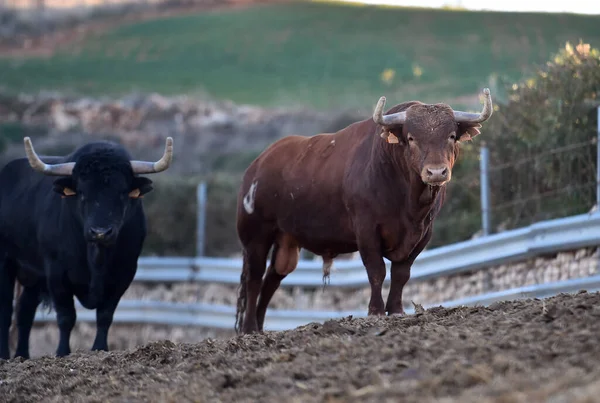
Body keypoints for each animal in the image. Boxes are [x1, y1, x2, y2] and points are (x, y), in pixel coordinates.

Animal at [0, 137, 173, 358]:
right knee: (6, 310)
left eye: (122, 193)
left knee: (24, 312)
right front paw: (62, 353)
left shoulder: (124, 273)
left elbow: (105, 315)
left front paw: (100, 348)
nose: (100, 232)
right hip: (5, 261)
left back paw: (22, 355)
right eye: (81, 193)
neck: (96, 258)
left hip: (33, 276)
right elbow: (66, 317)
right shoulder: (56, 272)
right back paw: (5, 355)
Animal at [234, 88, 492, 334]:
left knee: (271, 280)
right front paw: (376, 311)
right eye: (411, 137)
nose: (436, 172)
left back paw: (259, 327)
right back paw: (249, 328)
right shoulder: (366, 230)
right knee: (254, 279)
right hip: (256, 237)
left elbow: (401, 273)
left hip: (286, 243)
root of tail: (257, 165)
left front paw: (396, 310)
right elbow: (376, 270)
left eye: (451, 136)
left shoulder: (423, 234)